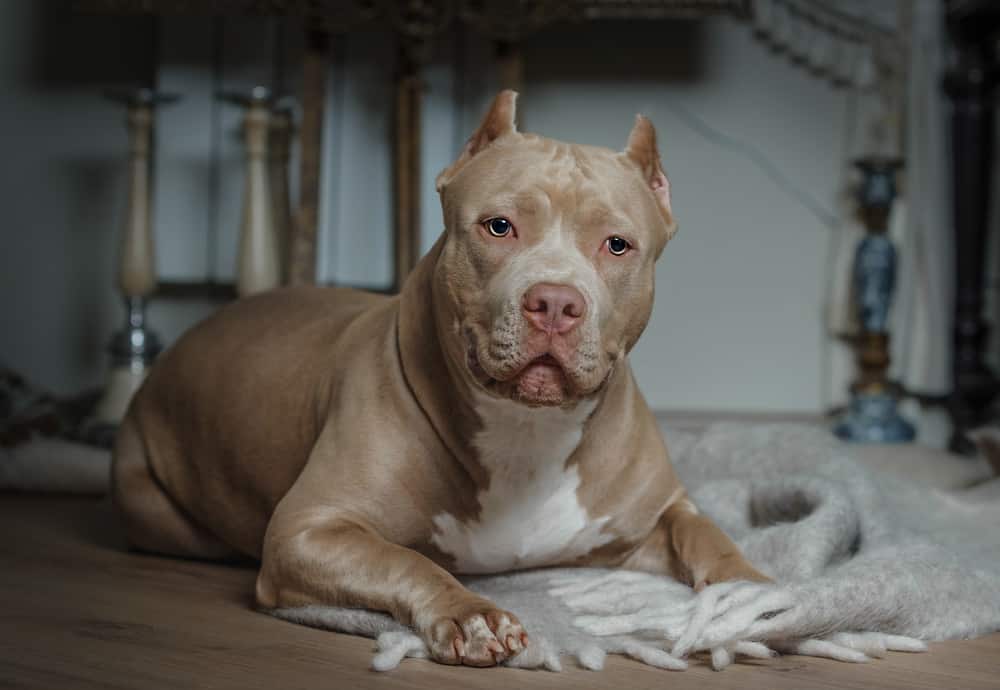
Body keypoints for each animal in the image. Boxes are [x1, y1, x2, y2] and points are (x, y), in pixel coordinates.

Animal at [111, 91, 764, 668]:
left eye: (617, 244)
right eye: (499, 227)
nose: (555, 302)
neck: (527, 430)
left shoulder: (656, 515)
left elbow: (706, 534)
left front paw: (757, 593)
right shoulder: (307, 530)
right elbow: (404, 560)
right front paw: (472, 614)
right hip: (159, 510)